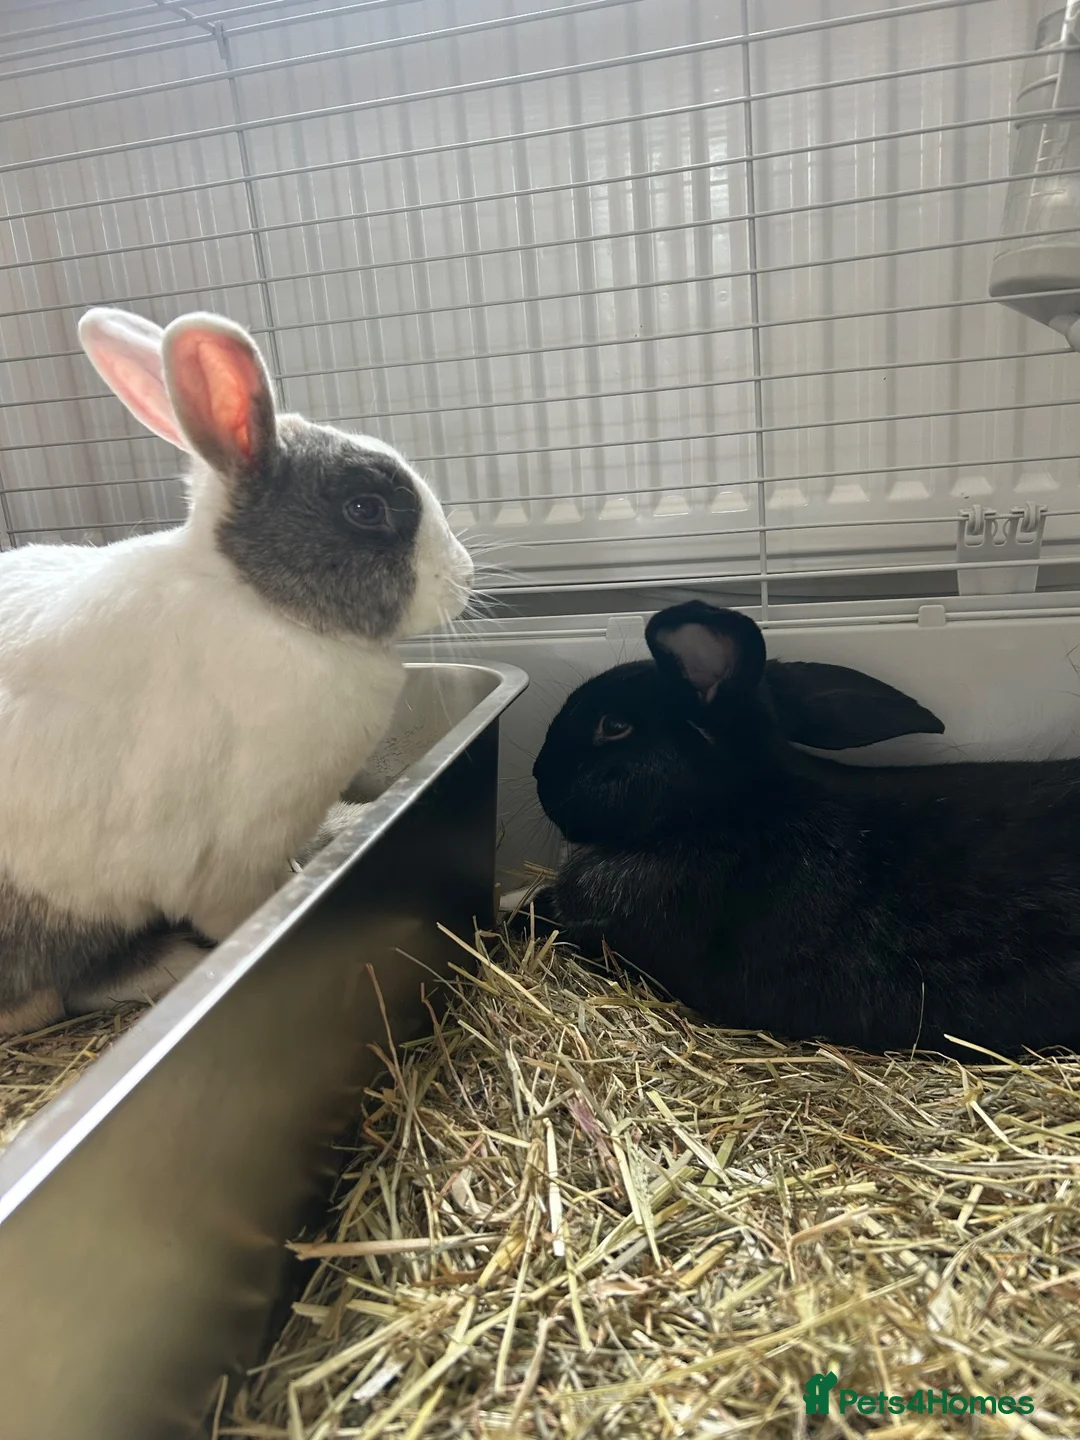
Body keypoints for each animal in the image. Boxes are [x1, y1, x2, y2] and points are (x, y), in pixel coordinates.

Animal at [0, 307, 473, 1035]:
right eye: (365, 509)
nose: (465, 577)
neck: (261, 604)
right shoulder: (226, 864)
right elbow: (241, 909)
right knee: (56, 993)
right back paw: (172, 966)